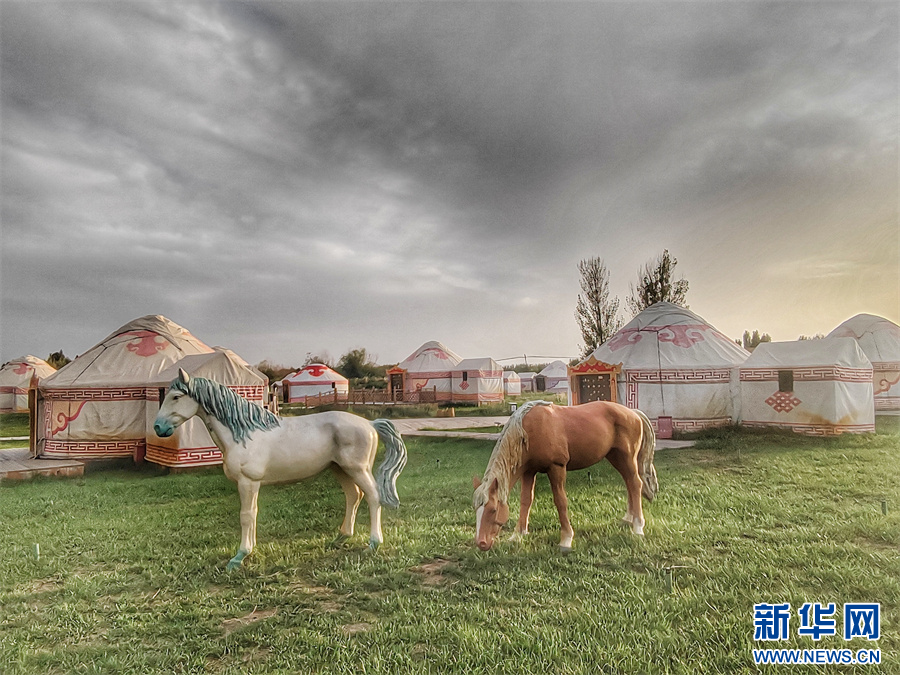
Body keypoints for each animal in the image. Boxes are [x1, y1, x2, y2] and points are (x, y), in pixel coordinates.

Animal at [153, 369, 407, 570]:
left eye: (176, 396)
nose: (158, 427)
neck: (243, 434)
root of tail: (370, 424)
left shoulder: (247, 482)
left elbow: (245, 516)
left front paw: (238, 557)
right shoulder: (252, 485)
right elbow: (253, 513)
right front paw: (250, 550)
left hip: (357, 469)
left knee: (373, 497)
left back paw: (373, 543)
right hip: (340, 469)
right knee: (354, 496)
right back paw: (341, 537)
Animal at [473, 400, 658, 552]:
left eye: (493, 509)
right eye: (476, 509)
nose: (481, 543)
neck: (528, 431)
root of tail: (633, 412)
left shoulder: (556, 468)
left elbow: (560, 501)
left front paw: (566, 539)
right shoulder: (528, 471)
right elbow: (526, 500)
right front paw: (518, 535)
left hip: (627, 457)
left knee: (636, 483)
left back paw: (638, 527)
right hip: (616, 457)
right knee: (629, 482)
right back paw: (628, 518)